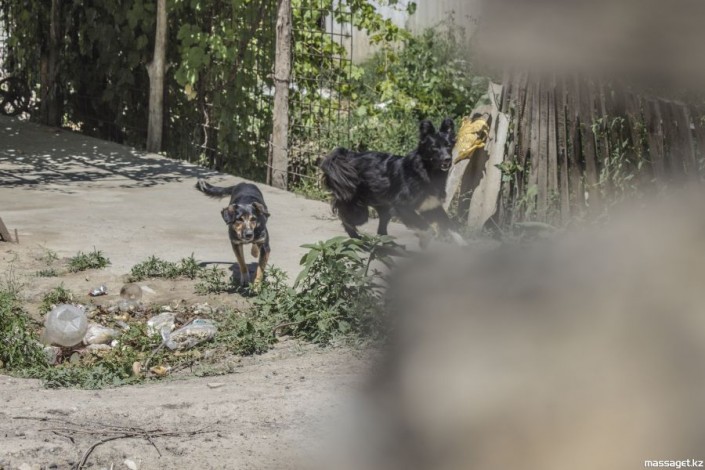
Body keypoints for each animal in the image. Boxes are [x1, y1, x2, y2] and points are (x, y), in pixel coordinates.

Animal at [320, 118, 465, 248]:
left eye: (448, 146)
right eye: (434, 147)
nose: (447, 159)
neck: (426, 171)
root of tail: (348, 156)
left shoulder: (431, 206)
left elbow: (450, 226)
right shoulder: (402, 206)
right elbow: (426, 228)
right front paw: (424, 241)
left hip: (384, 207)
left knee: (380, 230)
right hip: (359, 211)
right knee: (345, 218)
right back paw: (357, 239)